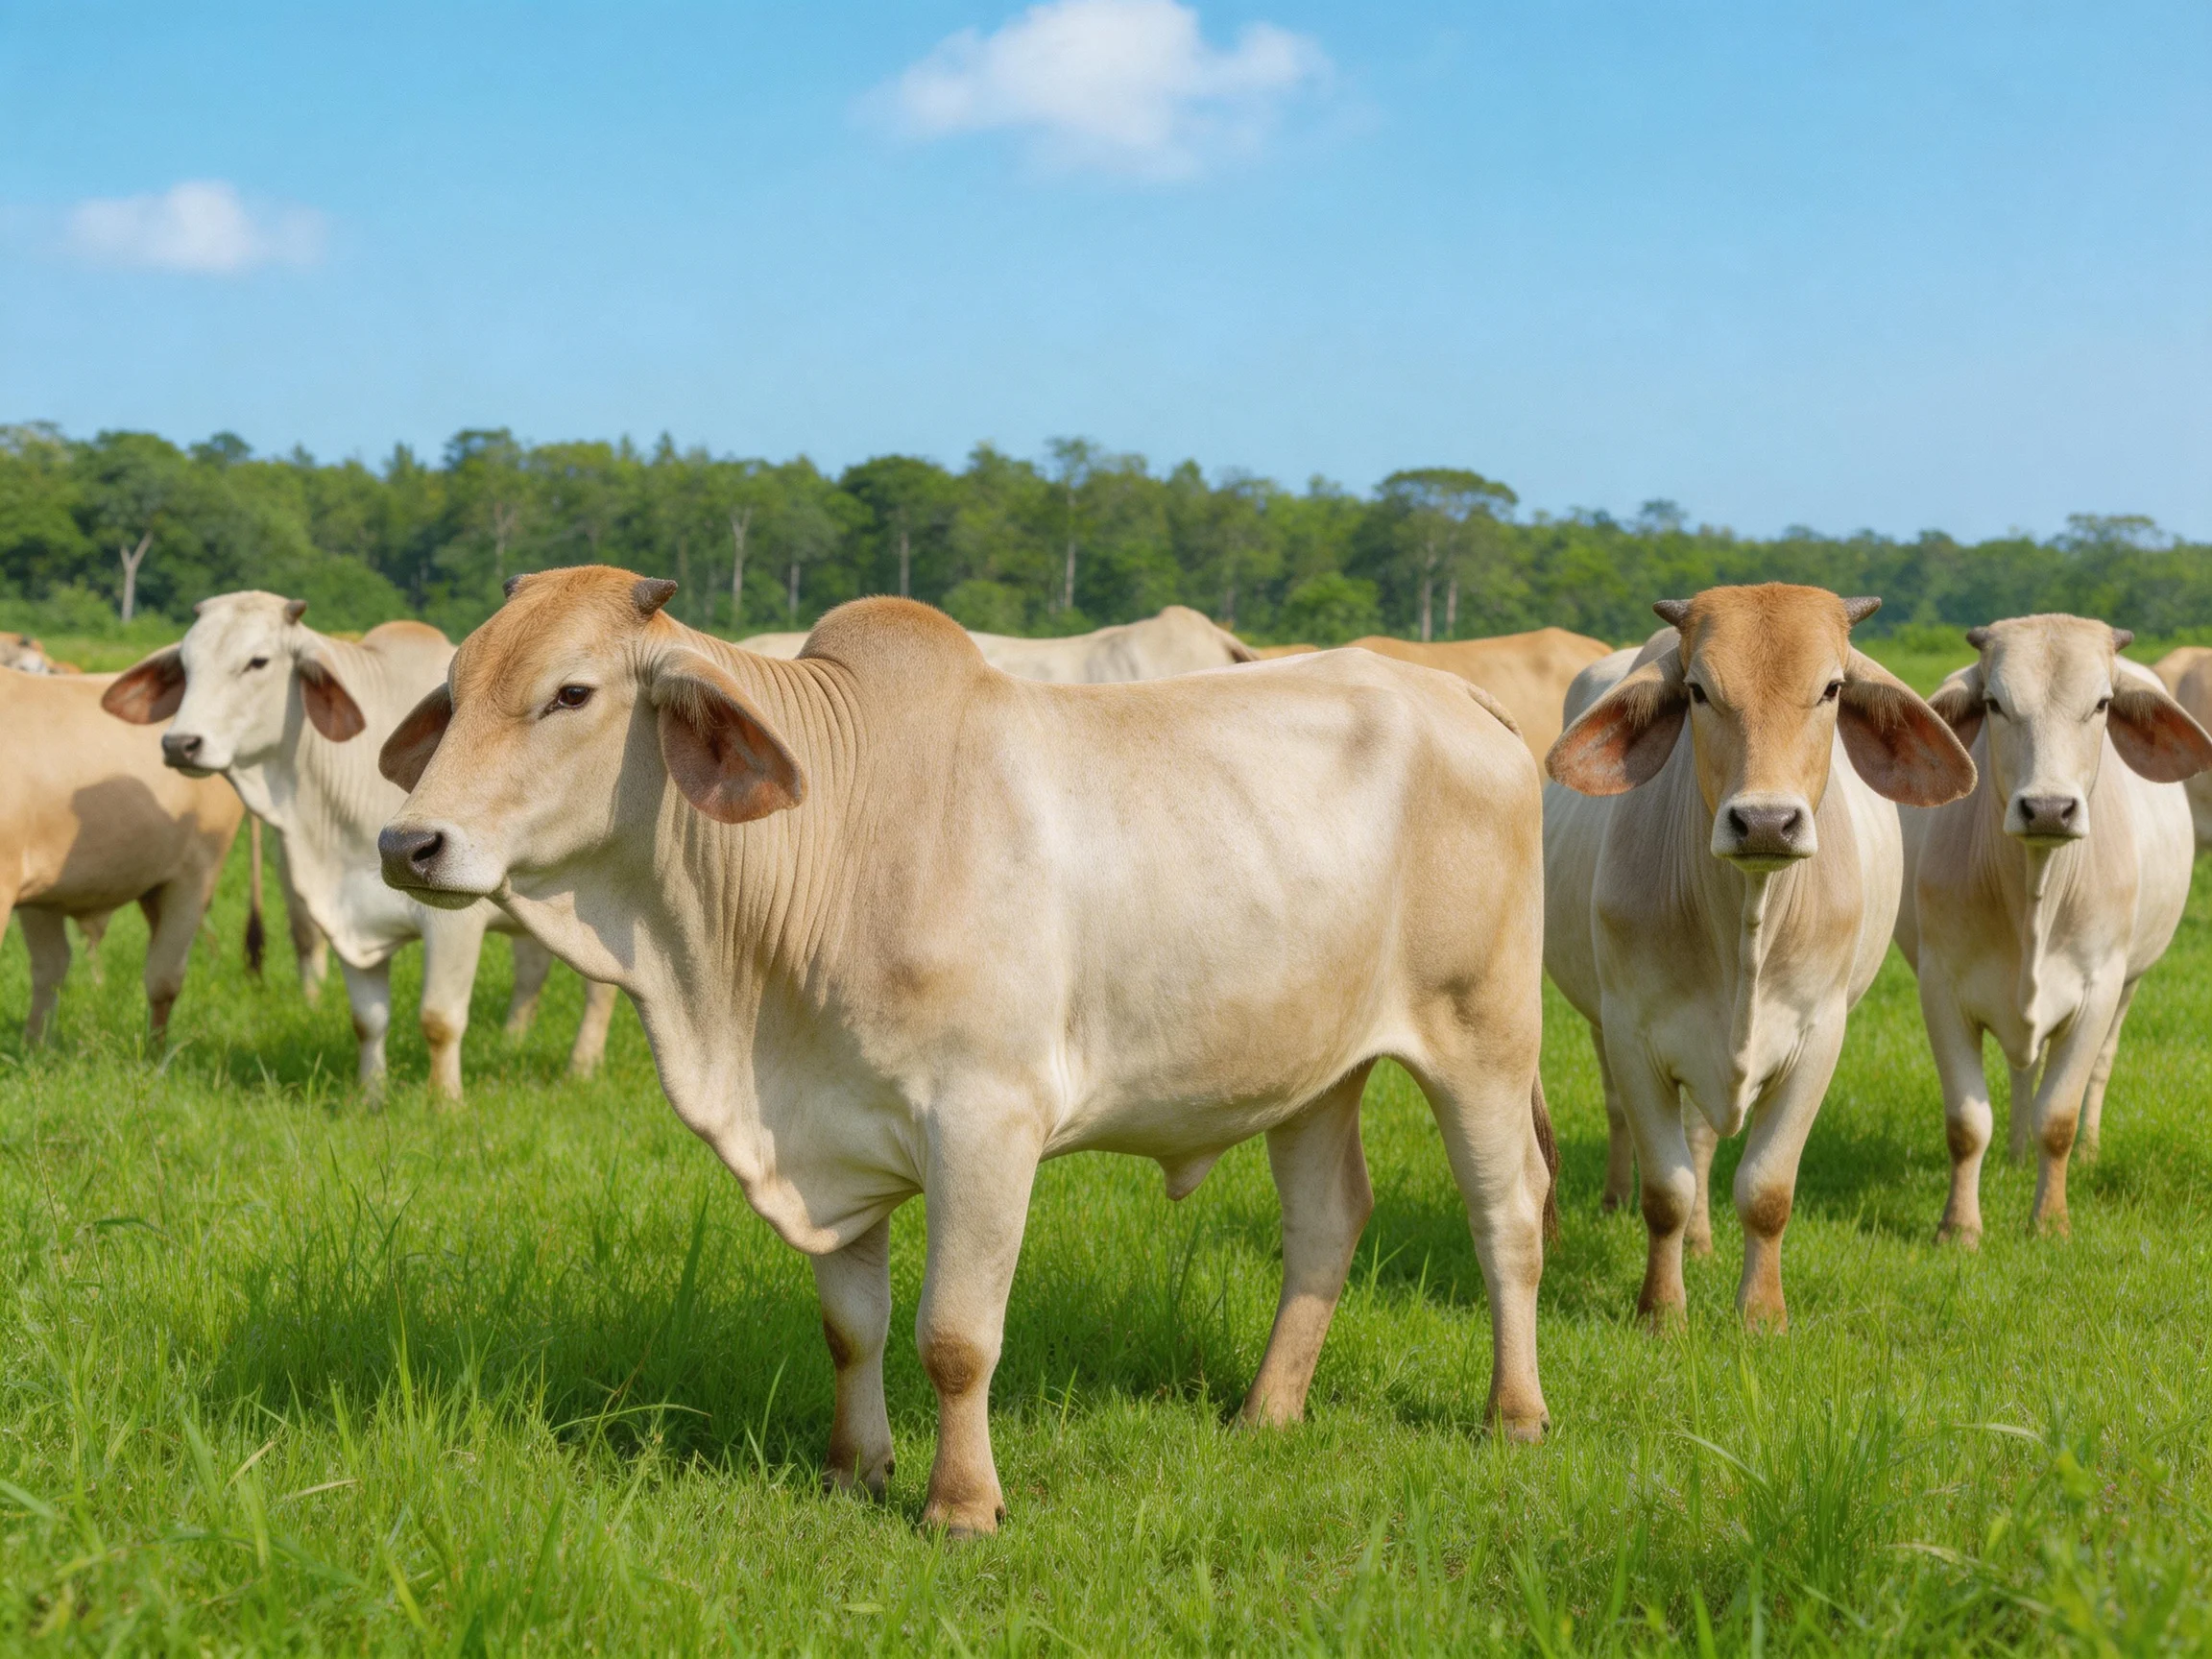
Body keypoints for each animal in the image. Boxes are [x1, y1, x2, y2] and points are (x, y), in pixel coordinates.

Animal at [104, 593, 619, 1099]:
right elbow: (368, 1021)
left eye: (258, 662)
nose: (180, 744)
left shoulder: (455, 923)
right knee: (533, 966)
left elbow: (439, 1020)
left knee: (600, 989)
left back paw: (582, 1067)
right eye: (186, 663)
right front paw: (371, 1096)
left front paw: (444, 1102)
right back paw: (514, 1039)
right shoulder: (344, 916)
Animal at [375, 566, 1556, 1535]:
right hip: (1314, 1072)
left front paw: (961, 1504)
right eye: (457, 686)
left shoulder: (986, 1123)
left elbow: (954, 1336)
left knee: (1508, 1216)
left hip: (1483, 1034)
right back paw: (1267, 1412)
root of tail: (1454, 696)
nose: (408, 842)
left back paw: (1515, 1414)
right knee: (1325, 1223)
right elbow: (850, 1327)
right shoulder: (830, 1135)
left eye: (571, 694)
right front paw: (854, 1469)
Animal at [1544, 585, 1974, 1327]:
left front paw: (1762, 1315)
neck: (1745, 922)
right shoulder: (1631, 1031)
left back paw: (1705, 1244)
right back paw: (1619, 1203)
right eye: (1697, 691)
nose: (1766, 822)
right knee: (1628, 1119)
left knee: (1703, 1140)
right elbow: (1666, 1191)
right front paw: (1662, 1314)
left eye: (1831, 688)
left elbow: (1766, 1189)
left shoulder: (1819, 1038)